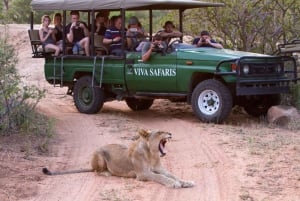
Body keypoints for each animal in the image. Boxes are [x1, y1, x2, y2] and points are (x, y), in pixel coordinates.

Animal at [43, 129, 196, 188]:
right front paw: (174, 184)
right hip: (99, 155)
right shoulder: (143, 174)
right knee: (96, 171)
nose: (170, 133)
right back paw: (106, 173)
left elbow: (172, 175)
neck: (152, 155)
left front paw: (186, 182)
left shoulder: (160, 169)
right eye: (159, 132)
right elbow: (161, 177)